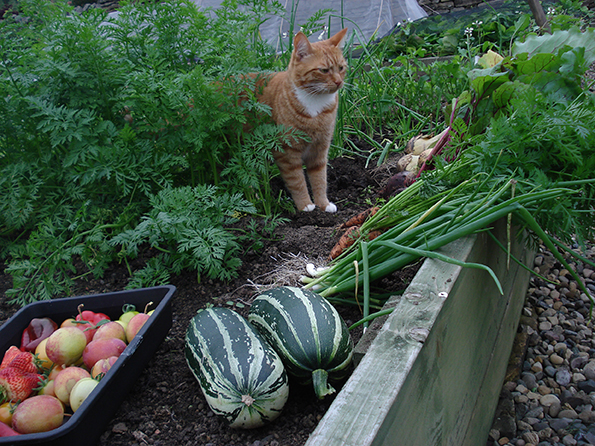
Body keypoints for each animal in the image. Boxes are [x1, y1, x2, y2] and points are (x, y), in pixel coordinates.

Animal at [253, 27, 346, 213]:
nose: (339, 82)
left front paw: (323, 204)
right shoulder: (286, 152)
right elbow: (297, 180)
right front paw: (305, 205)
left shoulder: (320, 150)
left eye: (341, 68)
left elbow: (319, 179)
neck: (316, 106)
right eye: (324, 70)